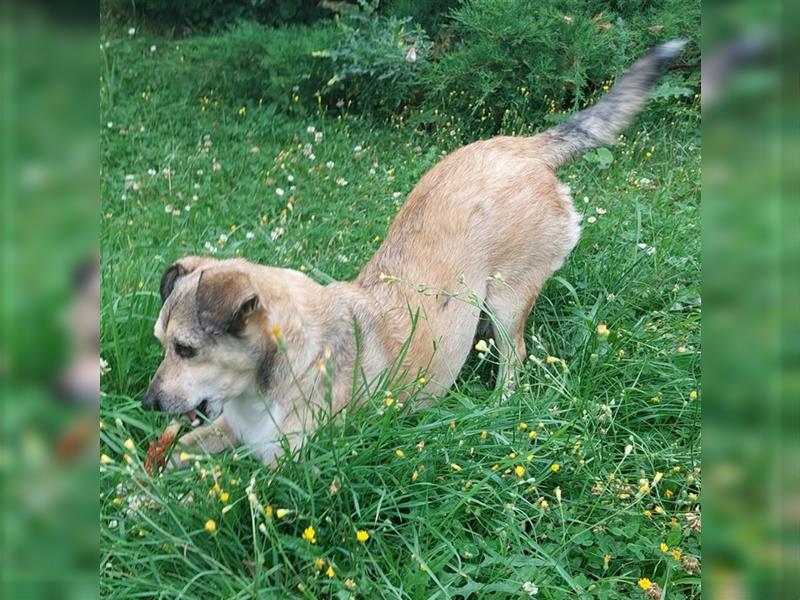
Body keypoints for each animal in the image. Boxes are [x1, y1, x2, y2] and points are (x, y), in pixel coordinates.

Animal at [141, 38, 684, 468]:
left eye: (186, 349)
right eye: (161, 343)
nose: (147, 403)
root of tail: (525, 147)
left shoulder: (291, 465)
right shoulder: (226, 430)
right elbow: (178, 455)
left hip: (509, 300)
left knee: (515, 356)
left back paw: (499, 405)